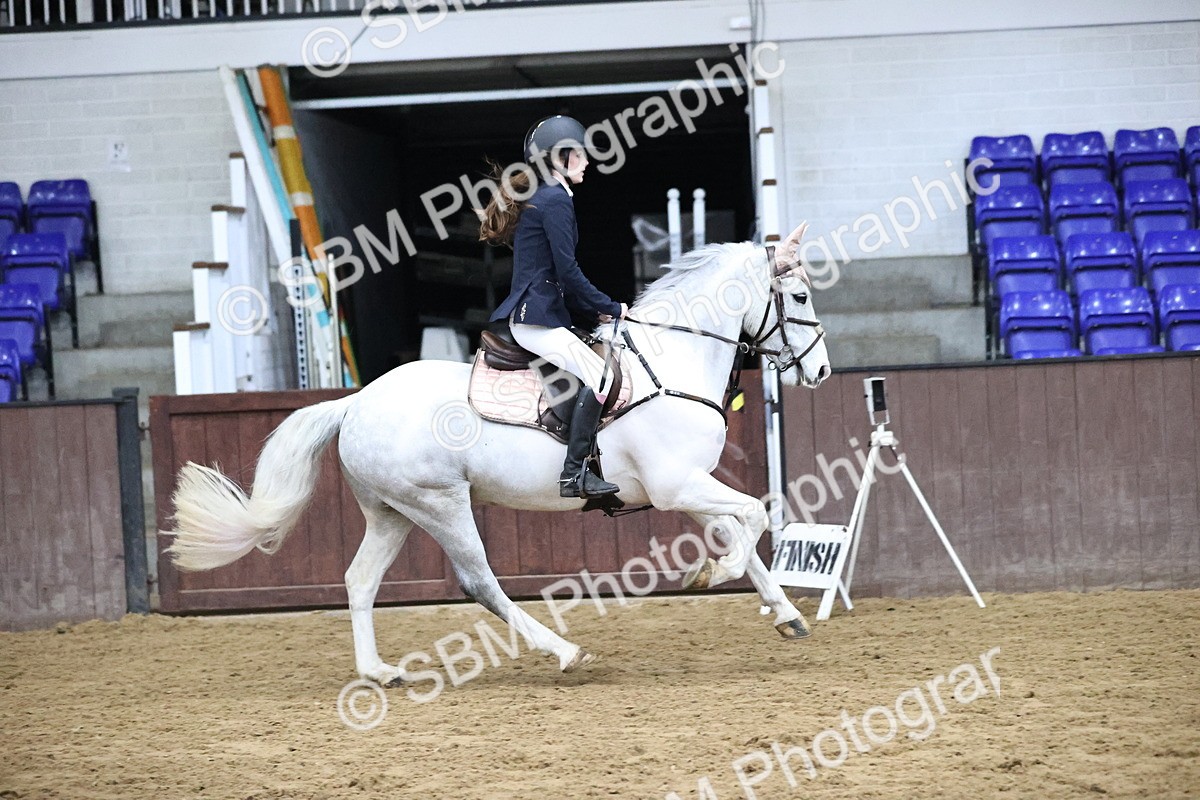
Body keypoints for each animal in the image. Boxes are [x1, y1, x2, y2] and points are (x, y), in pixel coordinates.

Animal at [164, 223, 831, 687]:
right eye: (798, 295)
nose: (821, 372)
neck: (673, 361)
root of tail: (355, 402)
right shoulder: (677, 486)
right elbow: (755, 516)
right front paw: (713, 574)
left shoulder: (687, 485)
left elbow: (743, 531)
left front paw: (782, 612)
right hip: (440, 504)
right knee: (479, 581)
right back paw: (564, 651)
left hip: (393, 512)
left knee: (360, 580)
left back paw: (380, 672)